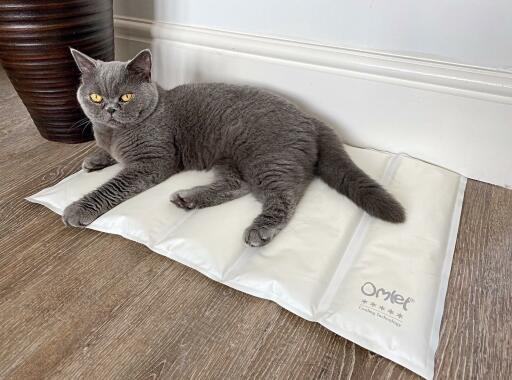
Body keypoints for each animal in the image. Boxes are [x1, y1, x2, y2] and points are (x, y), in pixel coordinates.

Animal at [63, 49, 404, 246]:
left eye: (126, 97)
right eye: (95, 97)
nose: (109, 109)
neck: (113, 133)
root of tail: (310, 117)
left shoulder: (152, 161)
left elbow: (113, 186)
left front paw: (78, 209)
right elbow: (107, 155)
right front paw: (95, 159)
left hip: (267, 159)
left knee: (284, 196)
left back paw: (260, 230)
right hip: (229, 157)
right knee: (237, 185)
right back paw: (189, 199)